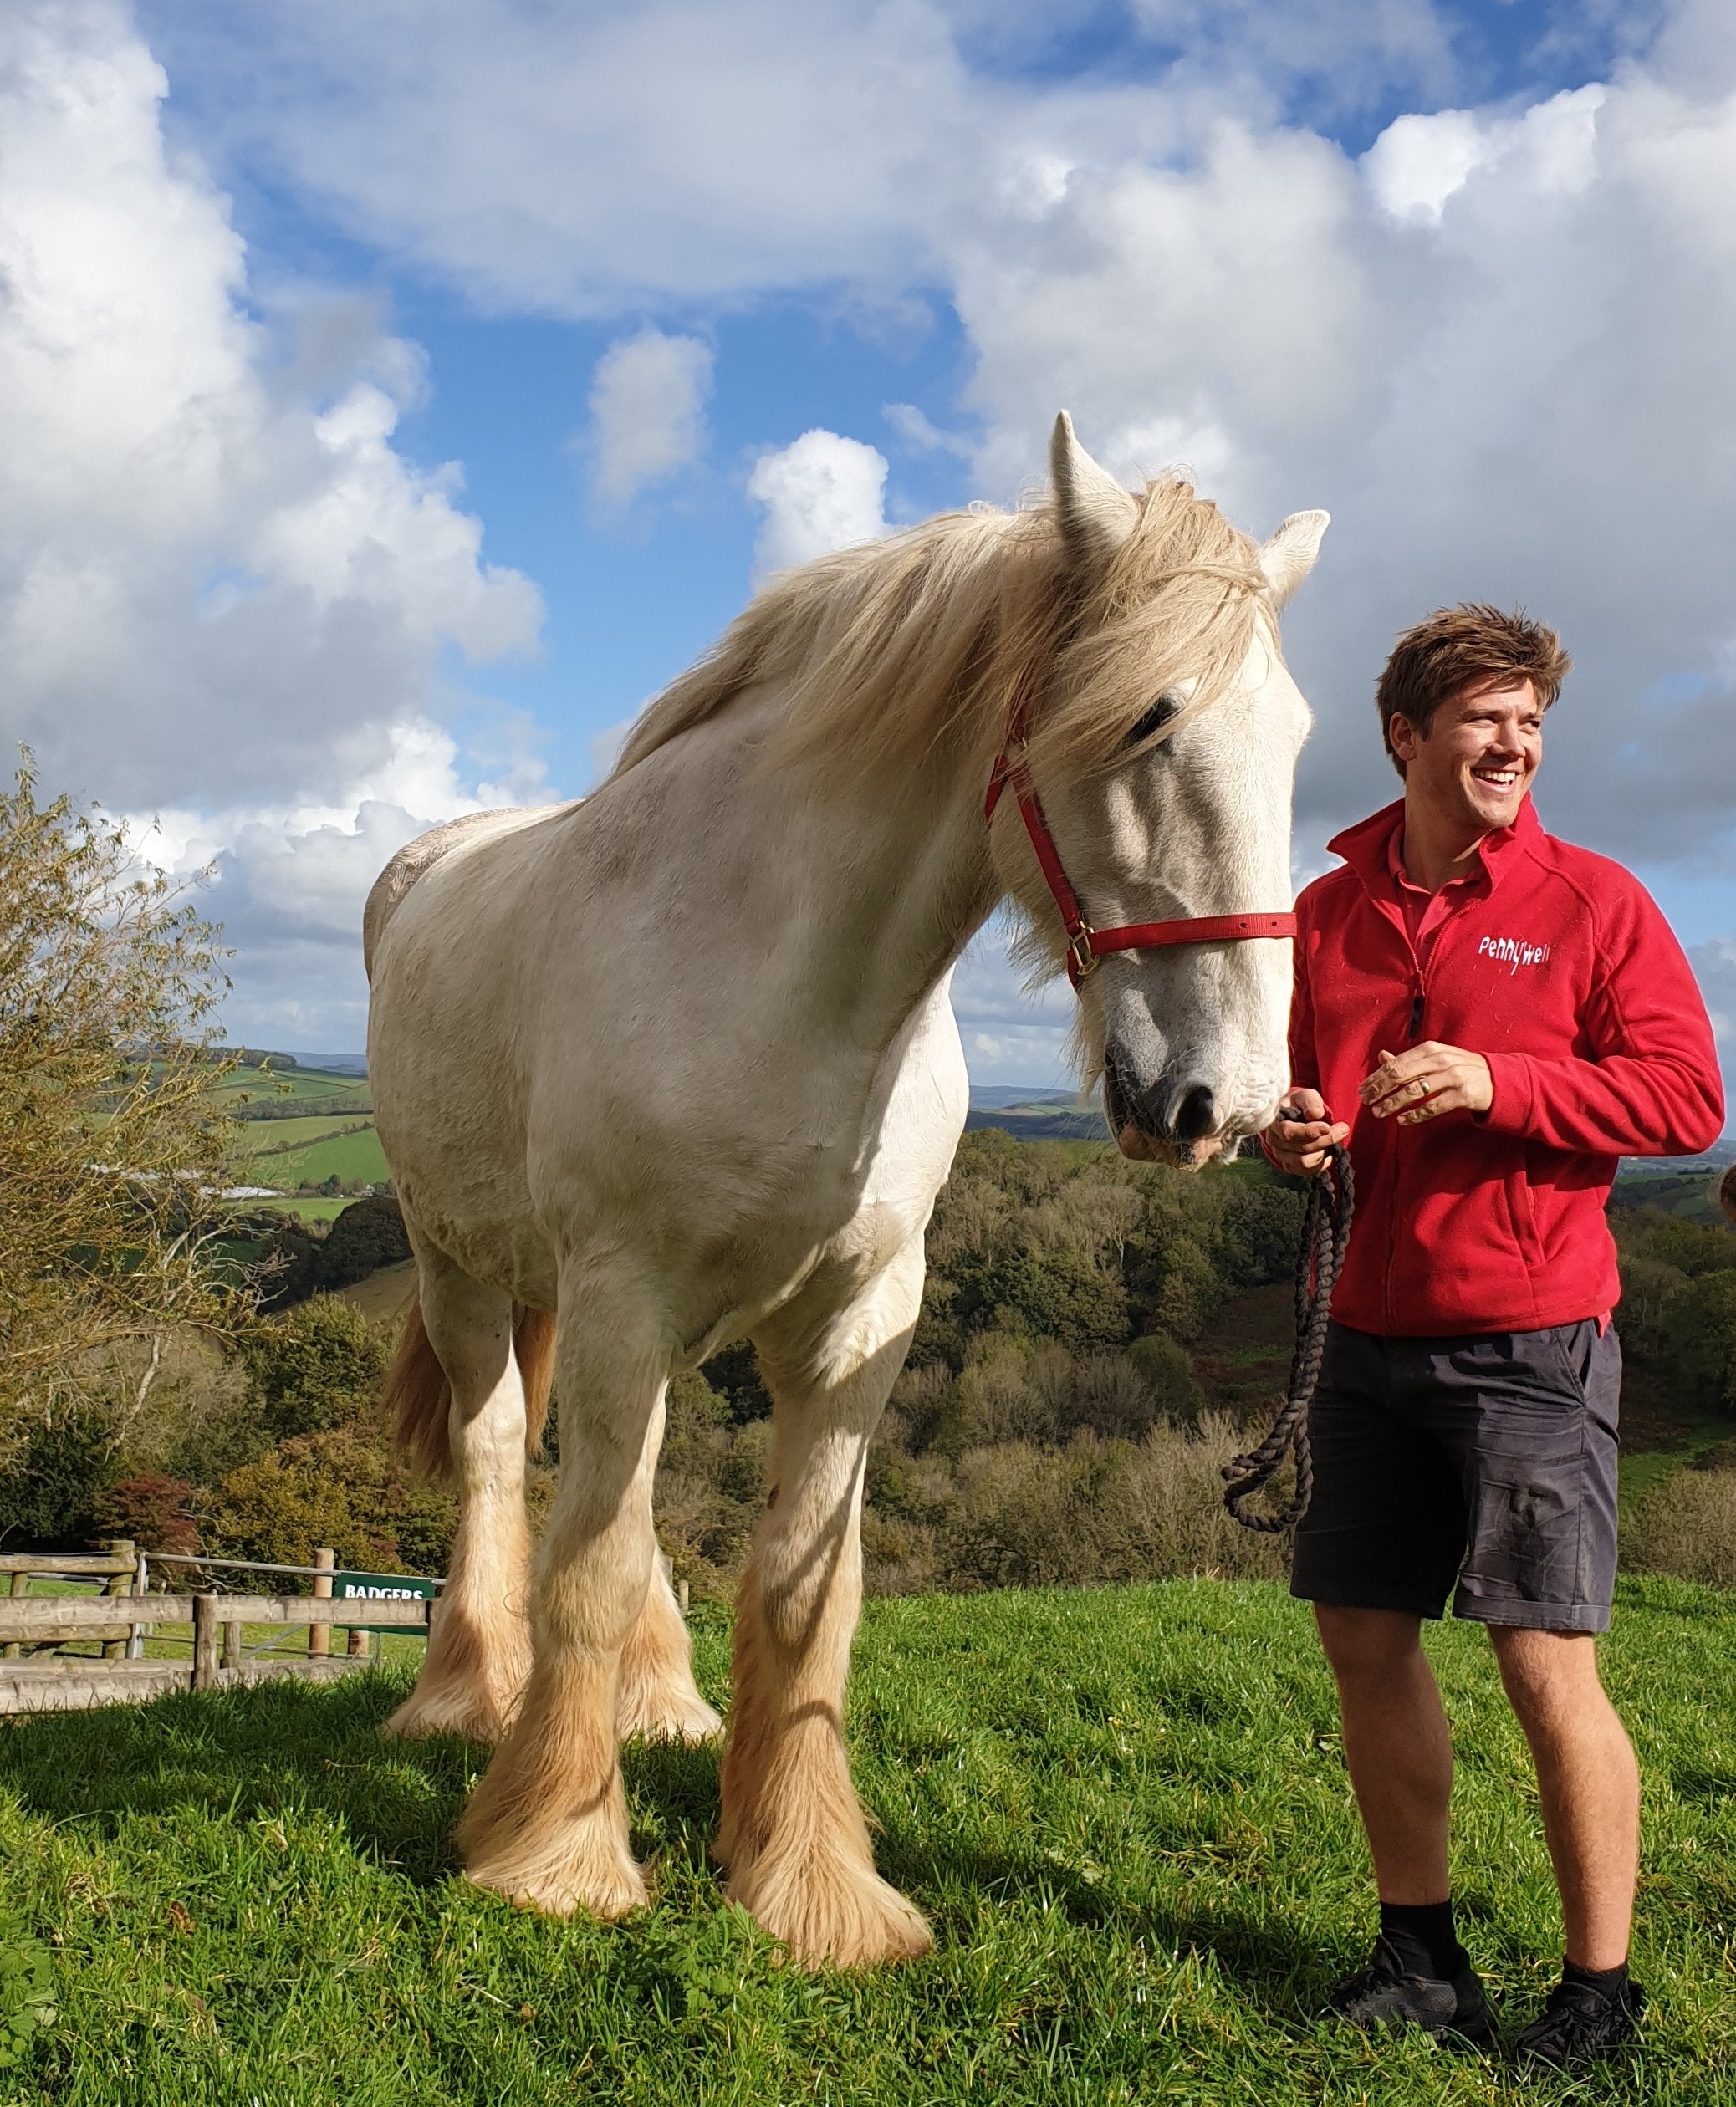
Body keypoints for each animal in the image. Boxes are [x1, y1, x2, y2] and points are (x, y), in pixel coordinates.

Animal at [362, 413, 1328, 1968]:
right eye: (1146, 718)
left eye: (1294, 739)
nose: (1223, 1104)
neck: (791, 975)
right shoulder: (624, 1295)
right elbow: (588, 1560)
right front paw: (558, 1854)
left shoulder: (858, 1318)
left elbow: (804, 1590)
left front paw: (808, 1884)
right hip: (465, 1273)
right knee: (502, 1458)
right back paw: (466, 1699)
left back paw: (663, 1706)